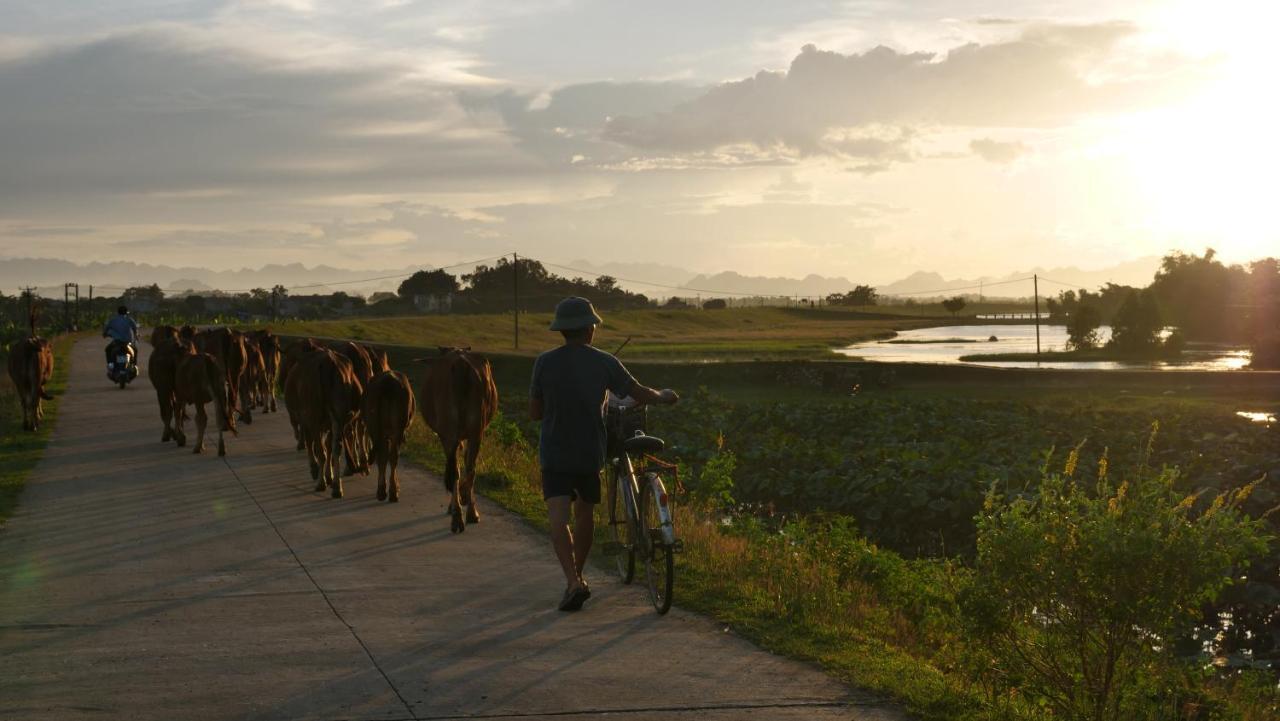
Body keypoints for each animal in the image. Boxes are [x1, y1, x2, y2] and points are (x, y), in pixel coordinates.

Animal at [360, 371, 414, 502]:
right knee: (390, 456)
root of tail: (387, 381)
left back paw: (383, 491)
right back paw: (391, 491)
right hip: (396, 428)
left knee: (383, 455)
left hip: (376, 427)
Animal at [419, 345, 499, 532]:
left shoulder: (447, 436)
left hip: (451, 433)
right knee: (470, 468)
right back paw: (471, 512)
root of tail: (461, 364)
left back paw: (457, 516)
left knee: (456, 470)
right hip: (476, 431)